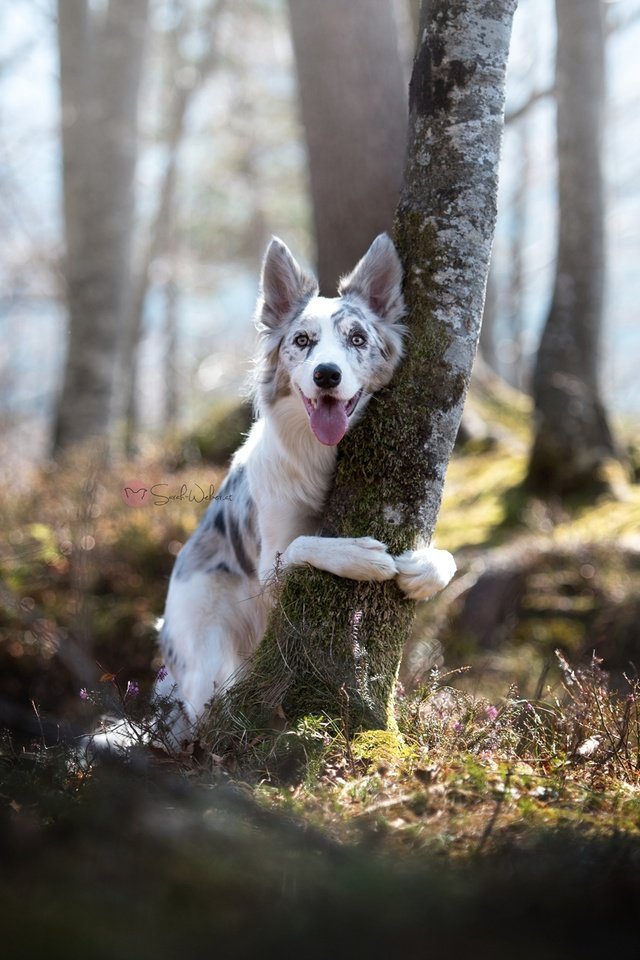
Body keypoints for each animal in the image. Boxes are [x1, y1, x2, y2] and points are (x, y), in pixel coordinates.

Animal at [154, 232, 456, 744]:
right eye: (302, 340)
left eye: (357, 339)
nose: (326, 374)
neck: (321, 456)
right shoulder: (266, 570)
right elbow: (302, 544)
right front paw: (356, 555)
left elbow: (450, 558)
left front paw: (427, 567)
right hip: (206, 639)